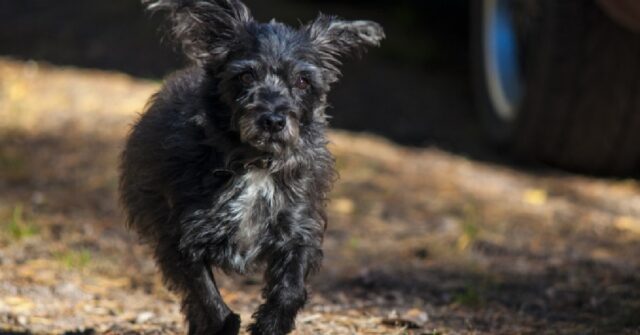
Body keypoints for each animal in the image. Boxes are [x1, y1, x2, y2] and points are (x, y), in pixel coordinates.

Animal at [119, 1, 384, 334]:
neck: (257, 163)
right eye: (245, 76)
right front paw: (224, 324)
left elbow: (291, 289)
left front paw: (270, 325)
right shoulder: (180, 238)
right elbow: (207, 298)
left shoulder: (298, 229)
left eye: (303, 81)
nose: (273, 120)